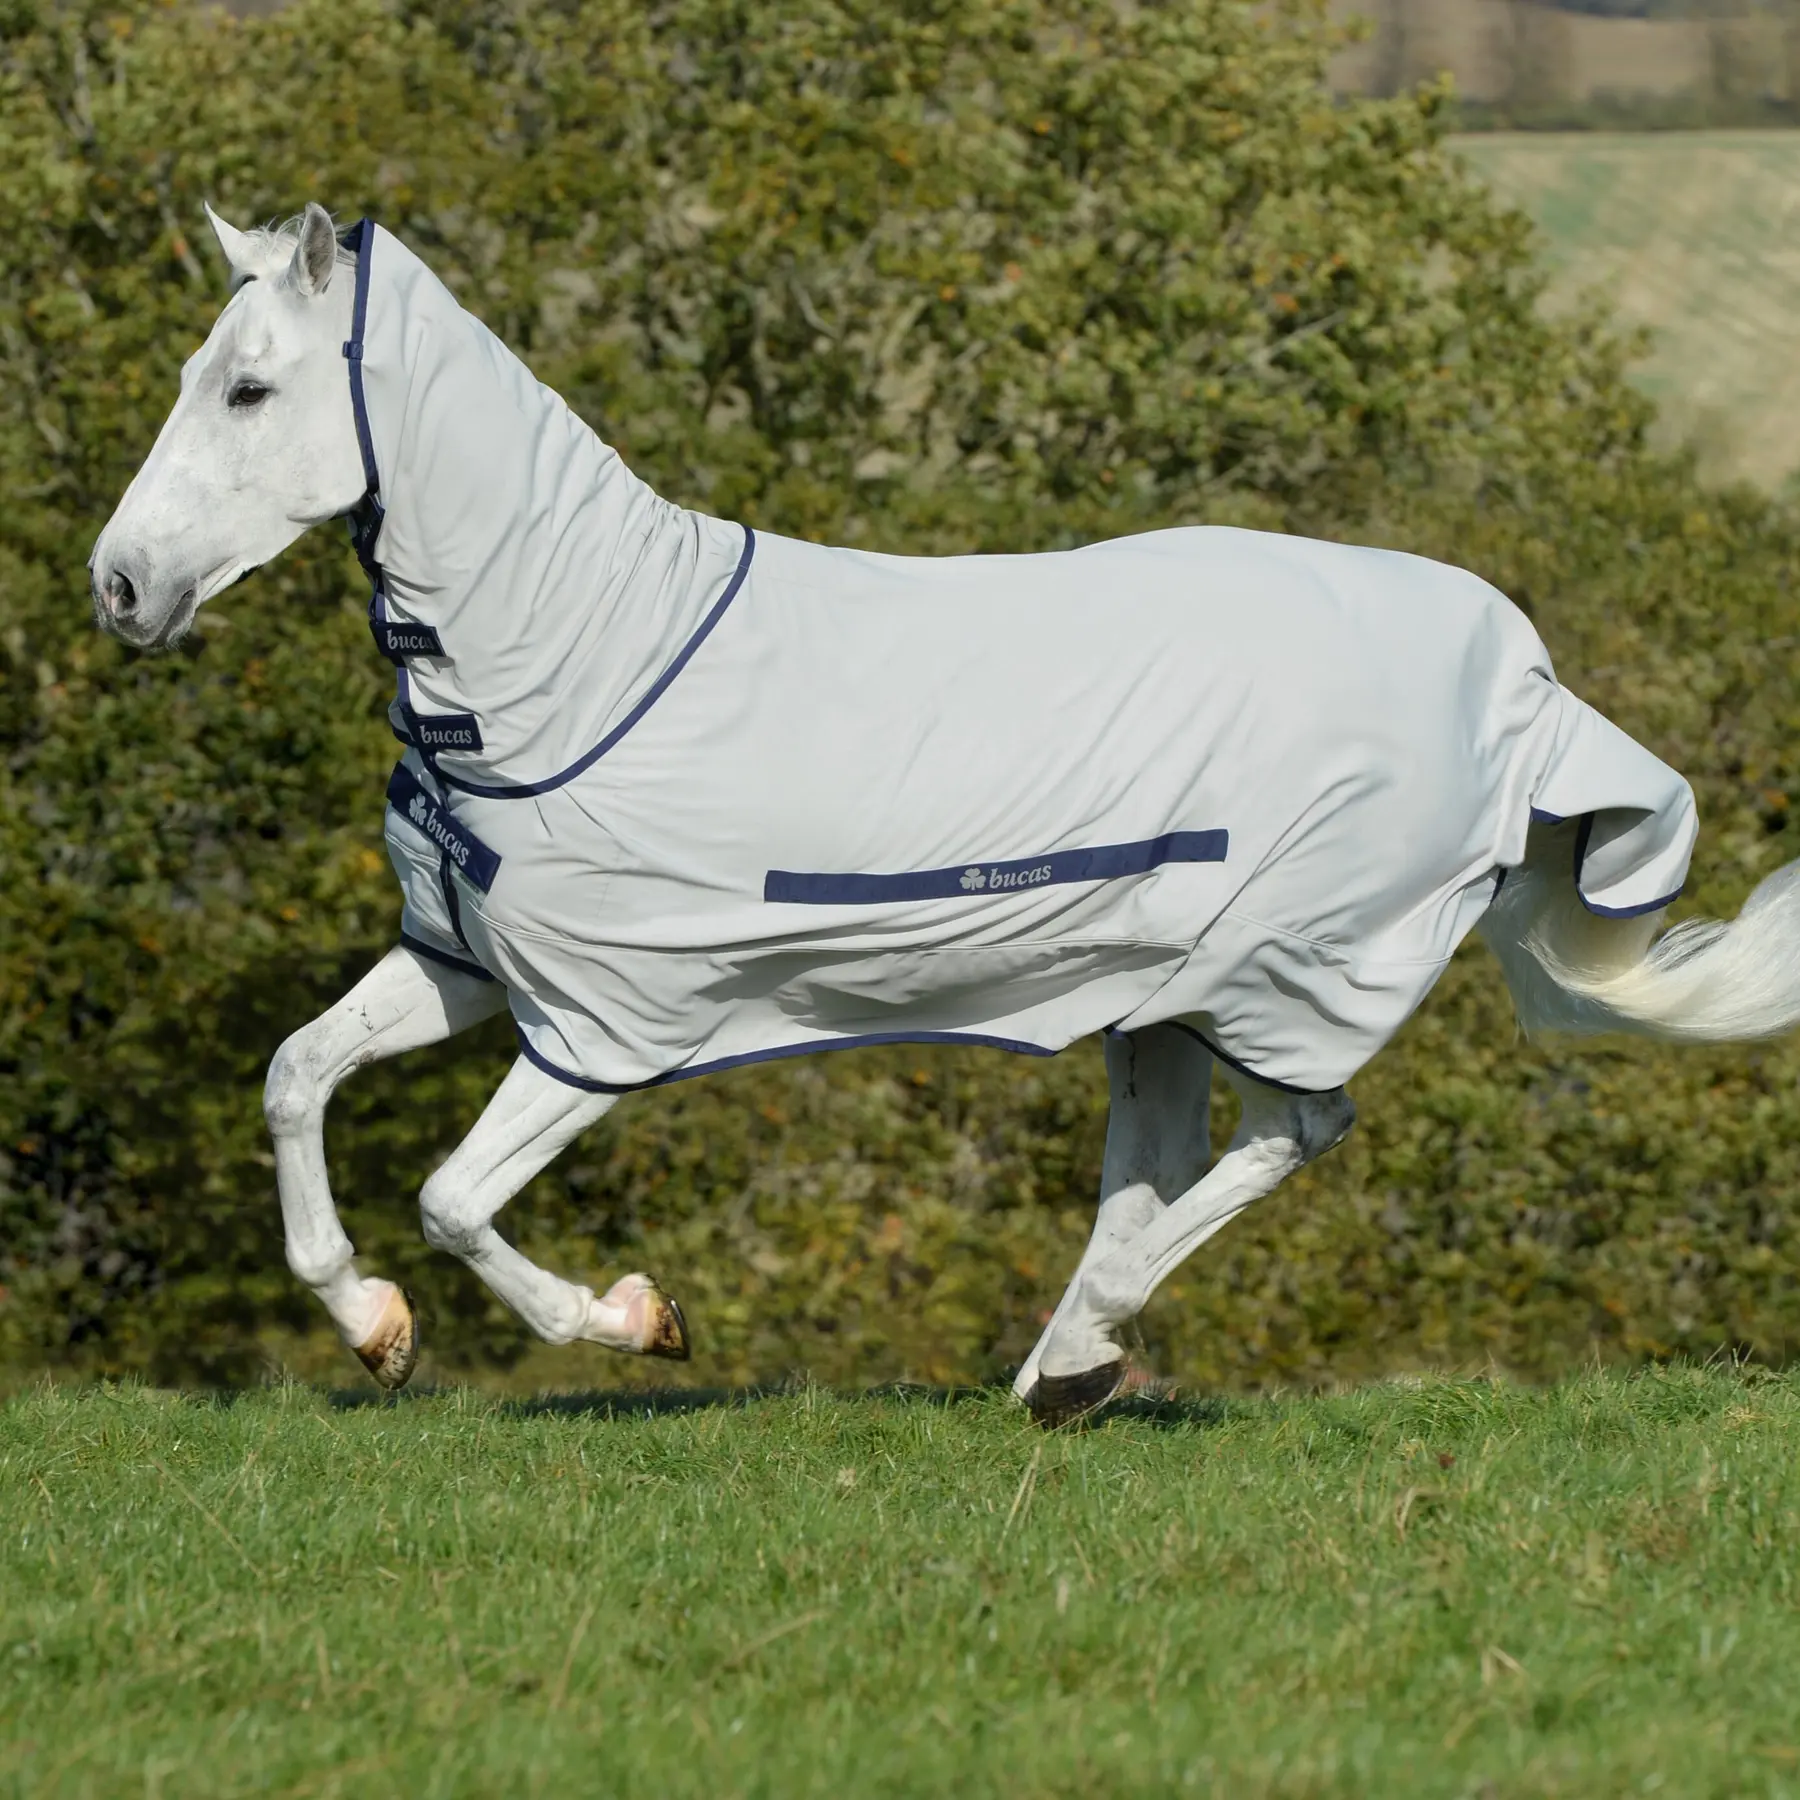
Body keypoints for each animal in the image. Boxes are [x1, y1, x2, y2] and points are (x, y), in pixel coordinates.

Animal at [88, 204, 1800, 1425]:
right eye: (188, 380)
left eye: (248, 388)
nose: (119, 587)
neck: (579, 662)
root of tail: (1524, 683)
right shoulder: (465, 960)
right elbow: (295, 1078)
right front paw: (373, 1330)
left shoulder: (615, 1019)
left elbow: (450, 1198)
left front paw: (638, 1320)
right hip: (1158, 995)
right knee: (1159, 1162)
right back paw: (1065, 1366)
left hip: (1286, 972)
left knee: (1298, 1128)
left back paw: (1082, 1352)